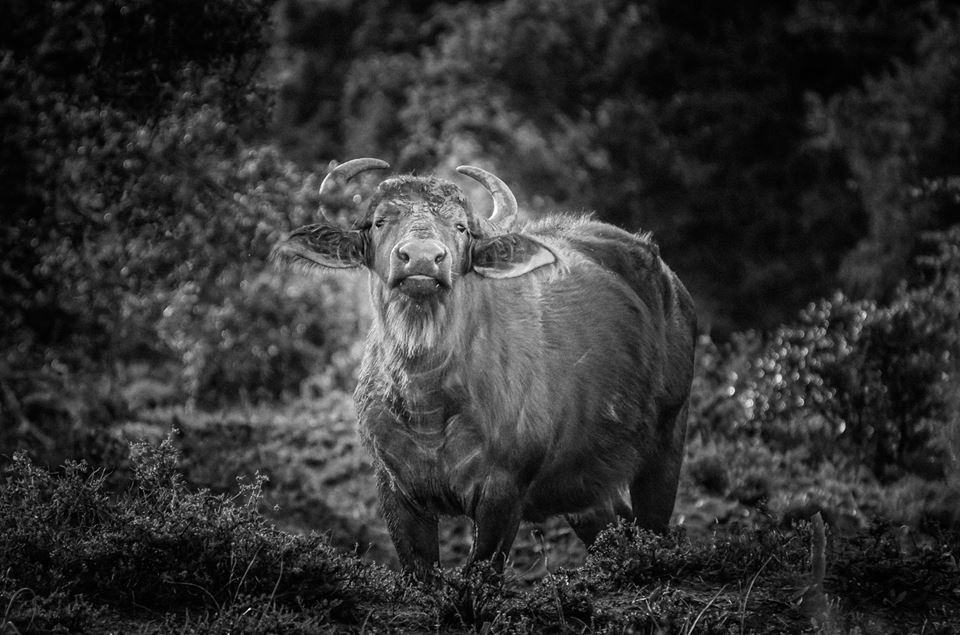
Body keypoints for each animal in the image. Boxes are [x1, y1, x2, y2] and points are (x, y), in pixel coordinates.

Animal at [274, 158, 692, 576]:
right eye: (380, 221)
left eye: (460, 226)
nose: (422, 258)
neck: (427, 402)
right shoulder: (396, 492)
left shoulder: (503, 496)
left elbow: (481, 572)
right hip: (584, 487)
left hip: (667, 440)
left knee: (653, 524)